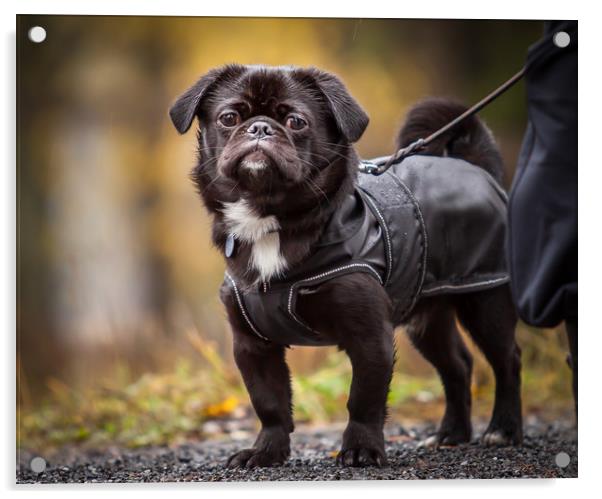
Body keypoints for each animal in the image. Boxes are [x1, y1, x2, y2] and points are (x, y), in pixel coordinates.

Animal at [169, 65, 520, 468]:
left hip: (486, 298)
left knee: (506, 360)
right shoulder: (253, 345)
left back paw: (503, 429)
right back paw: (451, 433)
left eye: (296, 121)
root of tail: (474, 167)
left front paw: (361, 448)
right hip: (426, 318)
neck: (273, 221)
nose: (259, 127)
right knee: (457, 365)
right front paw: (266, 451)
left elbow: (364, 398)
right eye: (229, 118)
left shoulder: (369, 335)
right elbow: (269, 403)